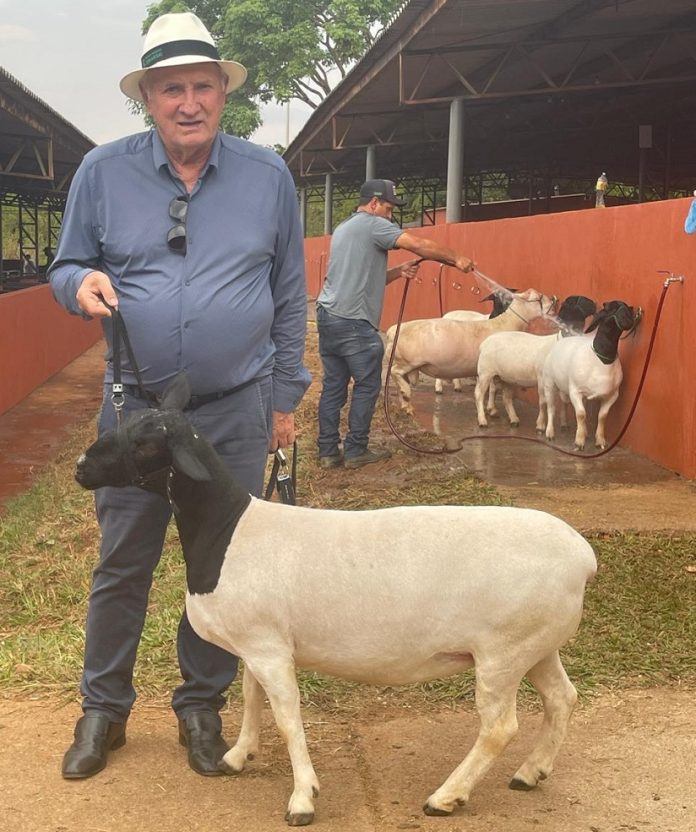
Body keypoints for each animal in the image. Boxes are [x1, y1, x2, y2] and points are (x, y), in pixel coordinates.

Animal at [75, 372, 596, 827]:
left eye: (146, 442)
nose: (82, 468)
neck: (229, 530)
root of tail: (582, 555)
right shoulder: (260, 645)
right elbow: (251, 698)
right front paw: (238, 757)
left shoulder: (268, 650)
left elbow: (287, 718)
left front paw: (302, 798)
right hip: (536, 644)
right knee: (562, 698)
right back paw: (531, 773)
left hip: (503, 651)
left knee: (499, 727)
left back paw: (447, 797)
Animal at [385, 288, 555, 415]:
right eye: (539, 297)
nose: (554, 299)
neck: (507, 323)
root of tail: (392, 331)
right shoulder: (491, 367)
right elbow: (492, 388)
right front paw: (491, 409)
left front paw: (491, 408)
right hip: (408, 361)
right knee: (395, 372)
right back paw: (406, 393)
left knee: (399, 379)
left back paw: (406, 405)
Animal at [474, 295, 597, 430]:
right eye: (578, 300)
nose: (596, 305)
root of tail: (484, 343)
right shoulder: (542, 378)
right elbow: (543, 402)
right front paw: (541, 425)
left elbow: (564, 401)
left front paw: (563, 424)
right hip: (485, 372)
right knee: (479, 394)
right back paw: (482, 420)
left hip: (506, 377)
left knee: (506, 398)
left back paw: (514, 419)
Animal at [542, 300, 638, 450]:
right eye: (610, 308)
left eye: (627, 307)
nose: (629, 320)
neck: (601, 359)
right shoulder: (575, 391)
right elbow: (581, 414)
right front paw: (579, 442)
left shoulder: (612, 395)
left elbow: (602, 416)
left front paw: (600, 441)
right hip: (549, 382)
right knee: (551, 407)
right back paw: (550, 433)